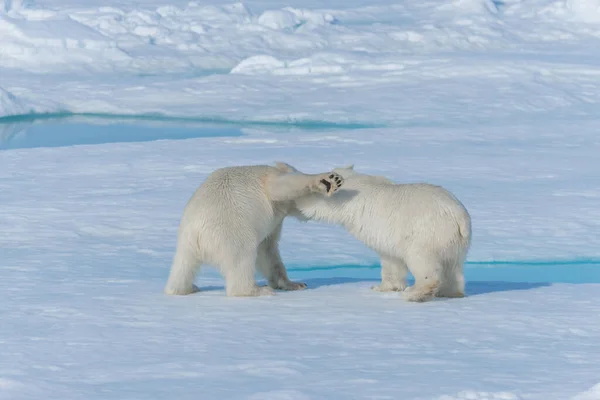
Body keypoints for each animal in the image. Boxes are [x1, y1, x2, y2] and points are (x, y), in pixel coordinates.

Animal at [164, 162, 342, 296]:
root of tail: (196, 232)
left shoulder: (275, 221)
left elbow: (267, 250)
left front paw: (294, 284)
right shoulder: (270, 184)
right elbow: (282, 186)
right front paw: (328, 180)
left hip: (186, 247)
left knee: (182, 269)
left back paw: (186, 288)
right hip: (229, 231)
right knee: (242, 256)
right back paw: (257, 290)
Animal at [278, 161, 474, 302]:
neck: (355, 179)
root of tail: (459, 216)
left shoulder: (345, 199)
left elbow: (316, 206)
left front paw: (288, 170)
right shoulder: (390, 242)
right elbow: (391, 262)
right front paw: (382, 288)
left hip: (425, 233)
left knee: (423, 262)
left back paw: (414, 293)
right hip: (454, 240)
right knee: (453, 267)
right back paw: (450, 292)